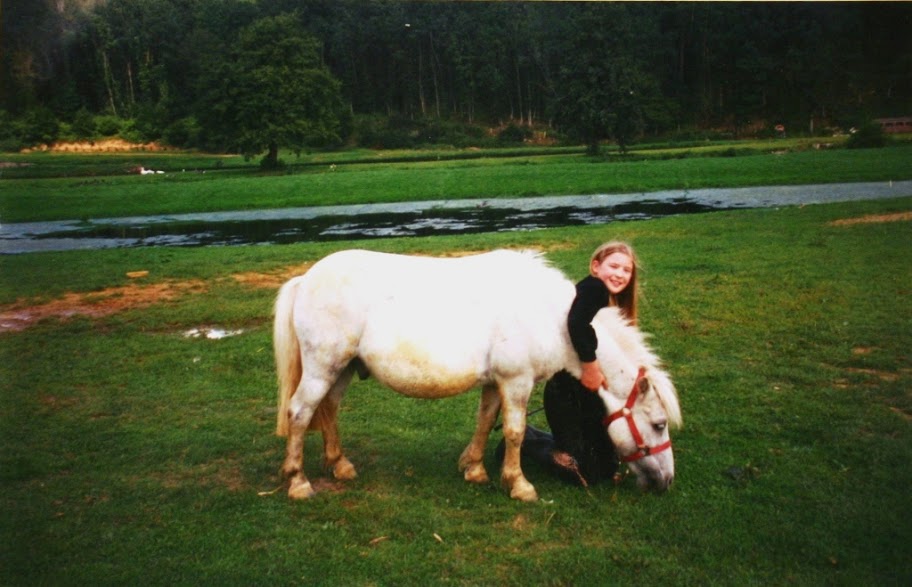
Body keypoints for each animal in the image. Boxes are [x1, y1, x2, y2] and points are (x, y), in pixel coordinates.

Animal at [274, 250, 680, 504]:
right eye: (658, 424)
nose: (667, 481)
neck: (553, 317)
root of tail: (306, 279)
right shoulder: (517, 382)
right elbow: (515, 432)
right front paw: (519, 485)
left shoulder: (496, 383)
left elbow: (486, 421)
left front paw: (474, 469)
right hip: (323, 367)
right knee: (300, 413)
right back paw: (298, 481)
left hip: (340, 370)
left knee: (328, 409)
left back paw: (340, 464)